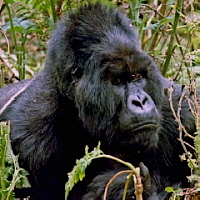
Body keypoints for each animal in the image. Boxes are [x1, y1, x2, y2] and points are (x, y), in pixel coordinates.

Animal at [0, 0, 195, 199]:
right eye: (117, 81)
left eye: (137, 77)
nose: (140, 101)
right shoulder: (32, 135)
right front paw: (124, 185)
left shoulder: (181, 109)